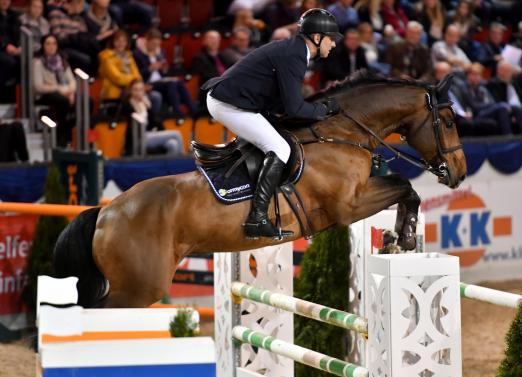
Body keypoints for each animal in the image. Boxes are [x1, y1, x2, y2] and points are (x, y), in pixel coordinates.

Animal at [54, 74, 466, 308]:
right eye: (447, 121)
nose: (459, 173)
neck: (341, 132)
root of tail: (105, 213)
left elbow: (405, 188)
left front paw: (398, 238)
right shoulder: (349, 206)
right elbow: (405, 187)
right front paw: (405, 236)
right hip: (137, 290)